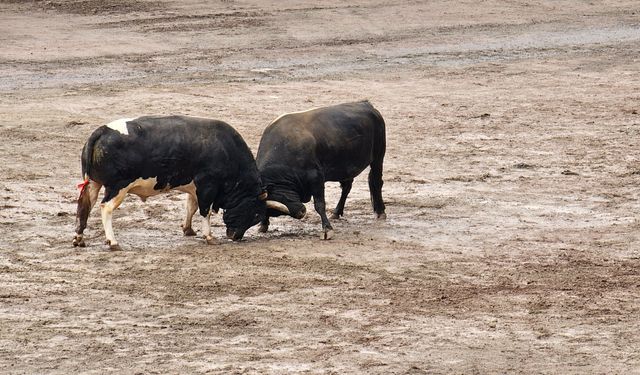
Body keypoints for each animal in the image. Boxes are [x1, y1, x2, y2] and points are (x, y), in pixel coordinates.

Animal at [73, 114, 268, 250]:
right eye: (255, 214)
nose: (235, 236)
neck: (225, 148)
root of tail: (102, 130)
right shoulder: (207, 186)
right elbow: (205, 211)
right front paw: (209, 236)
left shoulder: (195, 187)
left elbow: (191, 207)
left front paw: (188, 229)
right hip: (117, 187)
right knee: (105, 208)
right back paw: (113, 242)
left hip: (93, 183)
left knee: (84, 206)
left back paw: (79, 238)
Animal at [255, 101, 384, 239]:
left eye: (284, 197)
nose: (301, 212)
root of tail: (366, 104)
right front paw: (263, 225)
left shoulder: (316, 177)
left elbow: (319, 204)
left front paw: (327, 229)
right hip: (346, 168)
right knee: (346, 187)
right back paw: (336, 212)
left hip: (378, 157)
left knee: (376, 181)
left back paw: (381, 212)